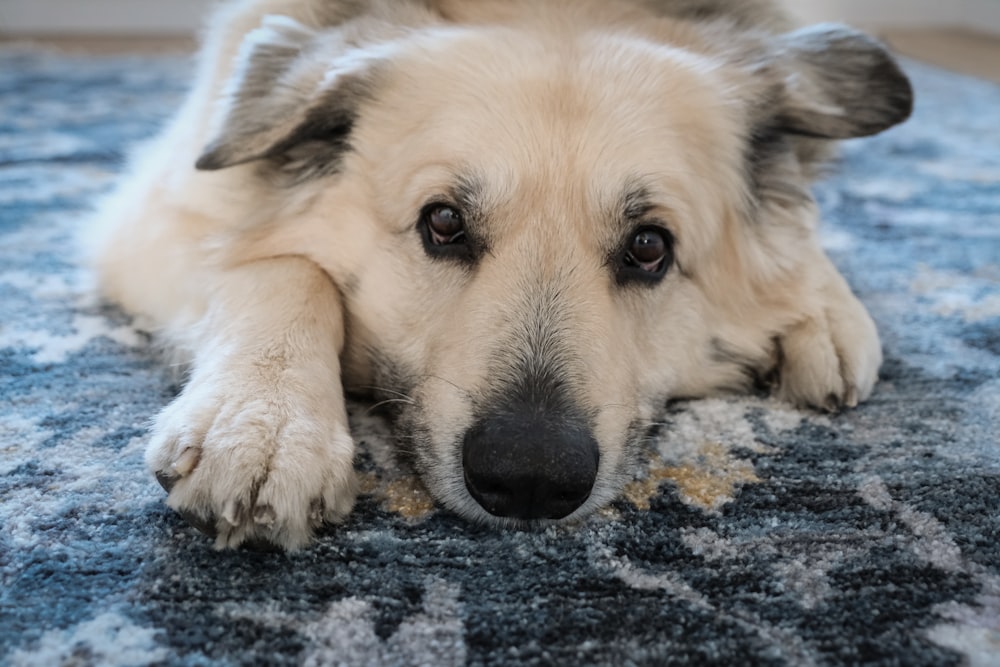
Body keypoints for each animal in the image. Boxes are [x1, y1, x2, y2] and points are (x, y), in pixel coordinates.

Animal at [86, 0, 916, 548]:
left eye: (649, 247)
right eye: (444, 223)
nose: (530, 478)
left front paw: (821, 302)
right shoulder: (157, 212)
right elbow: (277, 261)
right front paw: (265, 422)